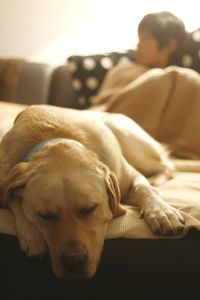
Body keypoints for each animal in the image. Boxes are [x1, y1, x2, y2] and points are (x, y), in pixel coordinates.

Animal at [0, 105, 184, 278]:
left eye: (90, 208)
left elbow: (145, 189)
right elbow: (13, 200)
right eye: (45, 215)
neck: (52, 136)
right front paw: (31, 234)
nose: (73, 262)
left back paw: (157, 180)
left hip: (129, 140)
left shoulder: (130, 175)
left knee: (167, 165)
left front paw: (162, 212)